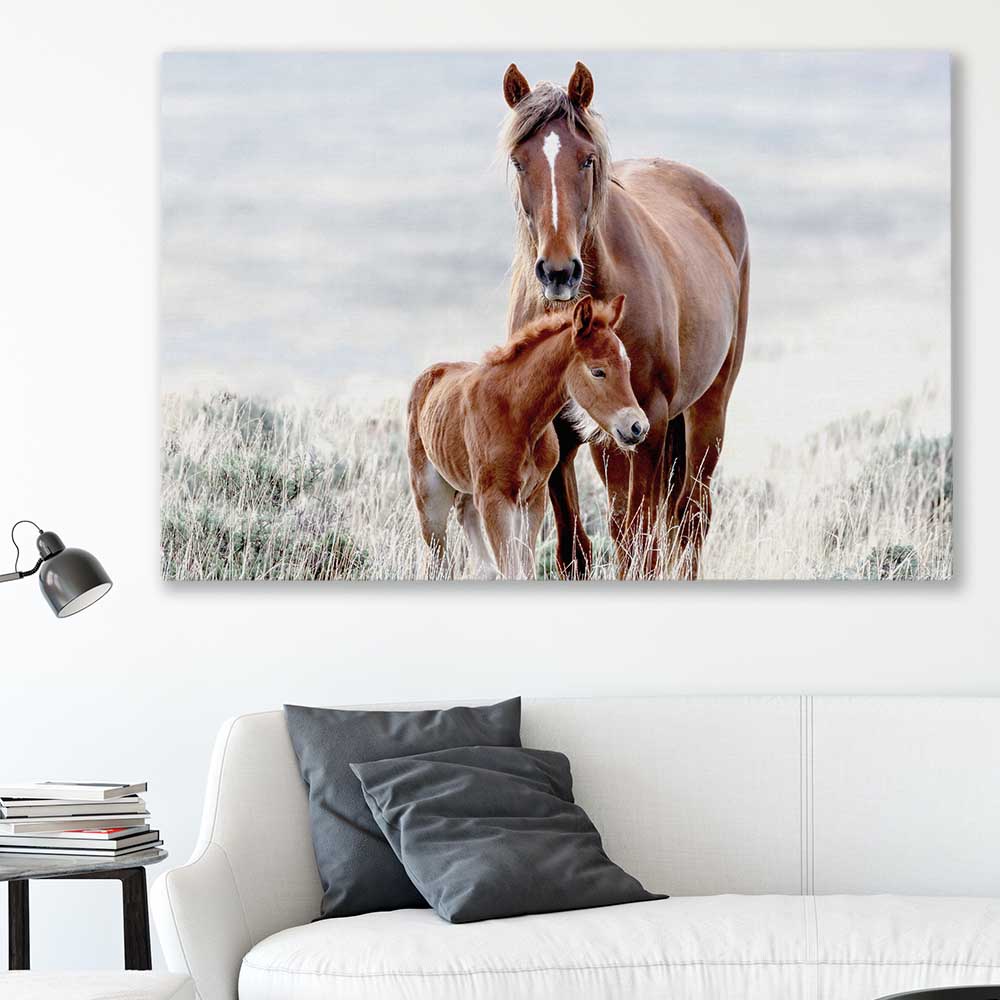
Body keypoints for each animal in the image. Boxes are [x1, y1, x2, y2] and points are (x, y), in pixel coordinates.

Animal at [407, 294, 647, 580]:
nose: (637, 427)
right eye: (597, 371)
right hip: (429, 496)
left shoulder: (532, 499)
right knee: (437, 555)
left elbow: (526, 568)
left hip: (469, 488)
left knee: (469, 526)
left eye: (627, 365)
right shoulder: (495, 499)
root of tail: (430, 373)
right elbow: (513, 570)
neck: (518, 417)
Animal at [501, 61, 750, 579]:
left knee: (689, 518)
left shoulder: (646, 422)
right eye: (518, 161)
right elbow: (575, 551)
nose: (559, 272)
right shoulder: (562, 434)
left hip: (704, 411)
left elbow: (639, 542)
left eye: (587, 159)